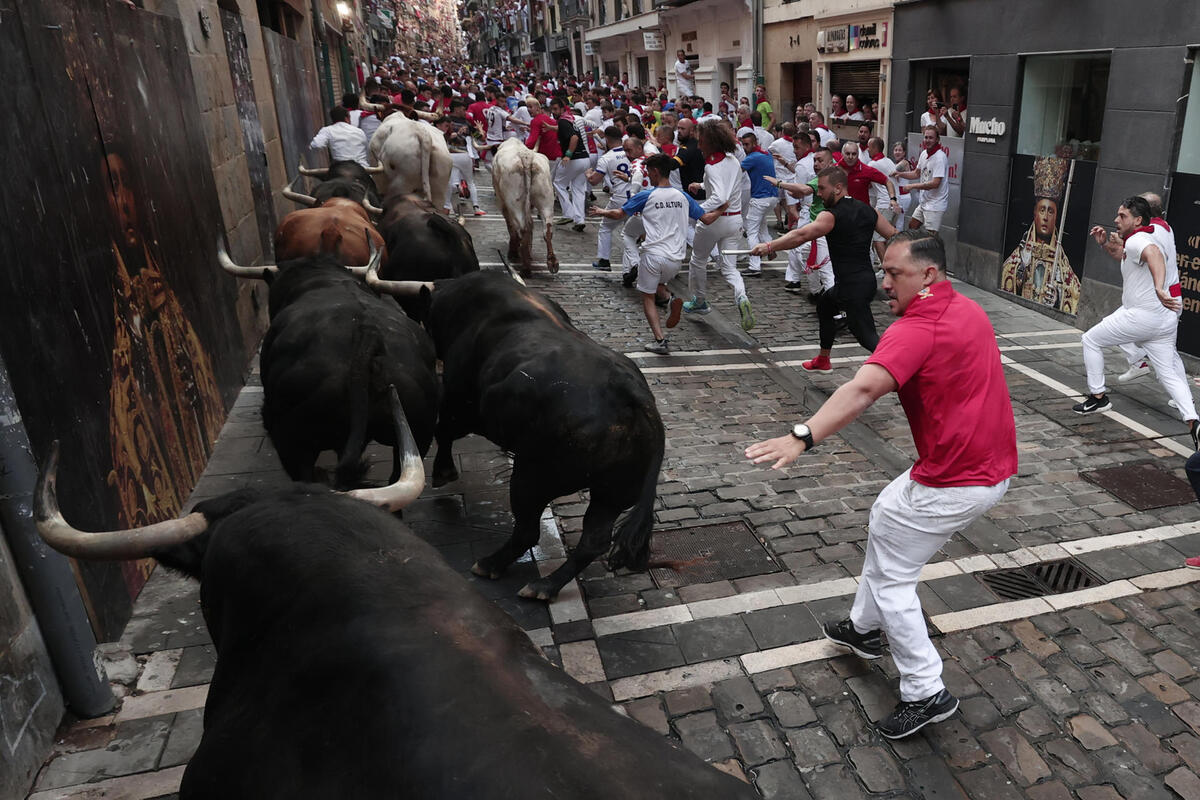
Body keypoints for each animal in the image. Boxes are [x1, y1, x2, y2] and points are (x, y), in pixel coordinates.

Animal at [424, 271, 667, 599]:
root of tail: (633, 395)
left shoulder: (458, 404)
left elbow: (443, 431)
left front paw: (442, 472)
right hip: (611, 493)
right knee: (592, 541)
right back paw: (545, 586)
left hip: (532, 477)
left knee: (528, 529)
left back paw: (491, 565)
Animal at [492, 142, 556, 280]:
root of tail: (526, 157)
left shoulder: (502, 202)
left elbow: (510, 225)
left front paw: (514, 250)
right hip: (546, 198)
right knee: (547, 229)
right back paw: (552, 262)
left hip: (514, 202)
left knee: (522, 228)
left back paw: (525, 267)